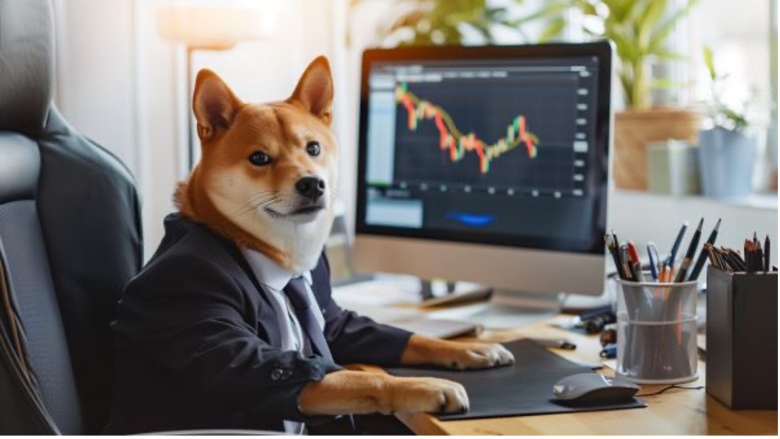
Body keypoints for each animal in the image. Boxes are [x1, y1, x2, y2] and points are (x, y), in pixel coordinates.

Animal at [174, 56, 512, 418]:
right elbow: (361, 378)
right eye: (259, 158)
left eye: (313, 148)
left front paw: (469, 349)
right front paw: (423, 386)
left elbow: (404, 336)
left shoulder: (333, 318)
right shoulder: (229, 331)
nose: (312, 184)